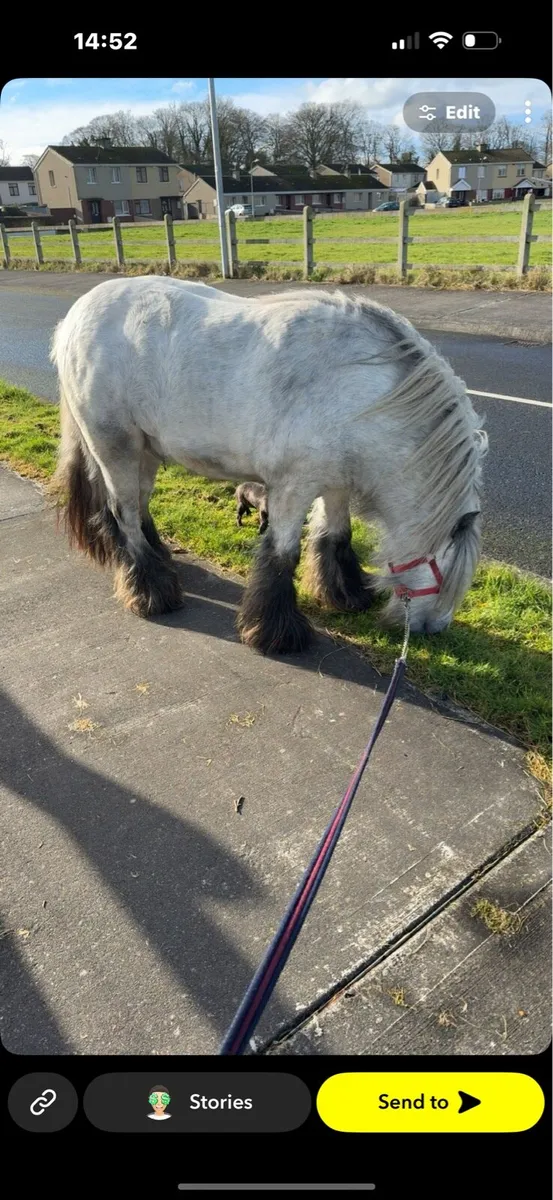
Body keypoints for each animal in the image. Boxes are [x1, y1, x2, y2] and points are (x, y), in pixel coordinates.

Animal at [51, 276, 487, 656]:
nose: (432, 630)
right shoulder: (292, 488)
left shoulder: (335, 484)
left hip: (146, 450)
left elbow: (336, 537)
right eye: (447, 577)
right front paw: (275, 633)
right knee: (124, 513)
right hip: (116, 447)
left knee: (139, 506)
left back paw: (159, 562)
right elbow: (282, 555)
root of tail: (73, 319)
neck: (359, 390)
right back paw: (151, 591)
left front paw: (344, 594)